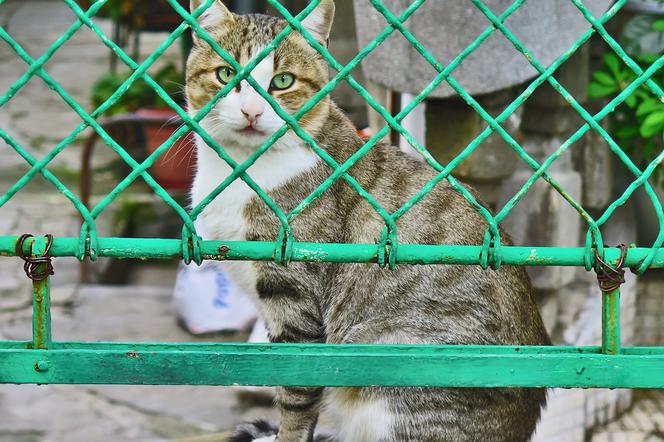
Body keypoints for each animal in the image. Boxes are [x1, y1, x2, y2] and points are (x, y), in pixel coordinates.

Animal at [187, 0, 548, 442]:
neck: (239, 169)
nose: (252, 111)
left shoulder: (296, 302)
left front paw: (285, 435)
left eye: (282, 81)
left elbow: (295, 395)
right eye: (225, 74)